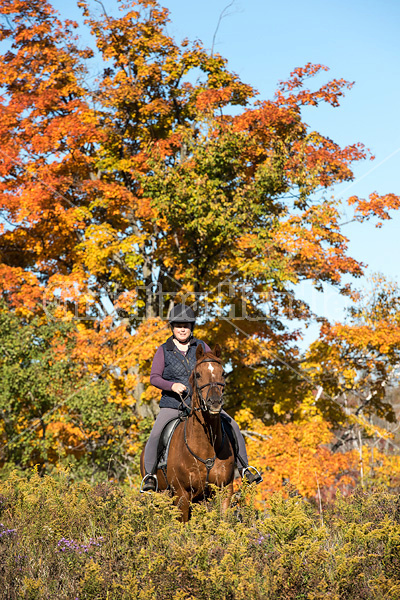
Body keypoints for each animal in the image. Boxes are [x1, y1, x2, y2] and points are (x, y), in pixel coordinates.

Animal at [140, 344, 236, 524]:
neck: (205, 447)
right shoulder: (182, 495)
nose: (214, 402)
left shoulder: (224, 490)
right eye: (198, 374)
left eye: (222, 373)